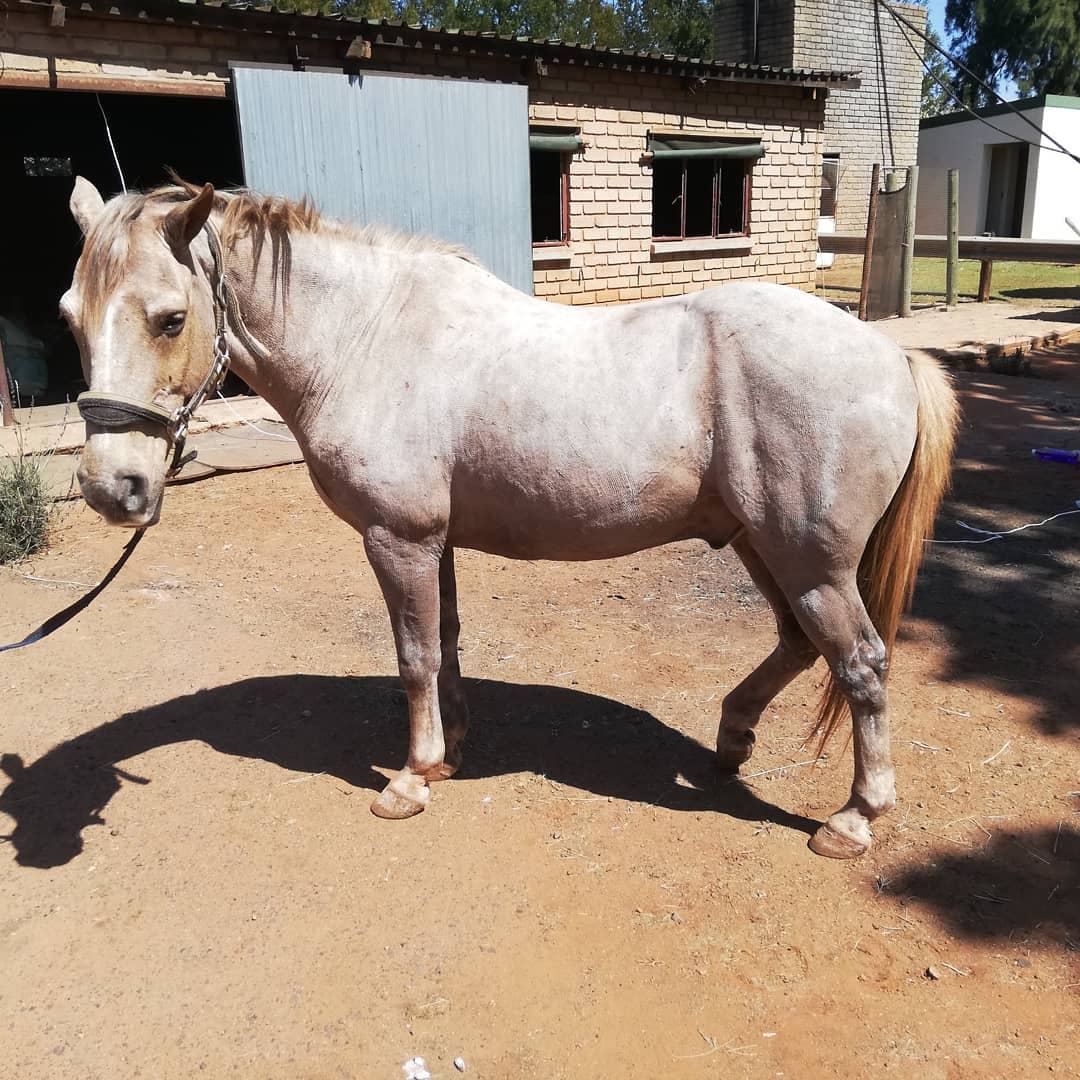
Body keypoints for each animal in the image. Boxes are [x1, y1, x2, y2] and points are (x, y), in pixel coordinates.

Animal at [62, 177, 956, 859]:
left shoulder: (398, 541)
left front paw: (411, 778)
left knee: (861, 665)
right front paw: (452, 753)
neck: (368, 338)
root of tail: (890, 355)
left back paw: (854, 818)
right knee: (800, 645)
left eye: (171, 317)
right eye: (72, 317)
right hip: (762, 547)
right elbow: (447, 643)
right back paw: (733, 738)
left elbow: (415, 656)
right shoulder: (436, 542)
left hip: (811, 563)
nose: (113, 488)